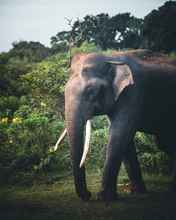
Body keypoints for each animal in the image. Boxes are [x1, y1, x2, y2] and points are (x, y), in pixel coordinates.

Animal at [60, 51, 175, 201]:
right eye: (64, 90)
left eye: (91, 91)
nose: (88, 194)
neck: (111, 57)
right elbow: (125, 138)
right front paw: (138, 192)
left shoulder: (133, 91)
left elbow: (119, 133)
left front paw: (104, 197)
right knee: (166, 144)